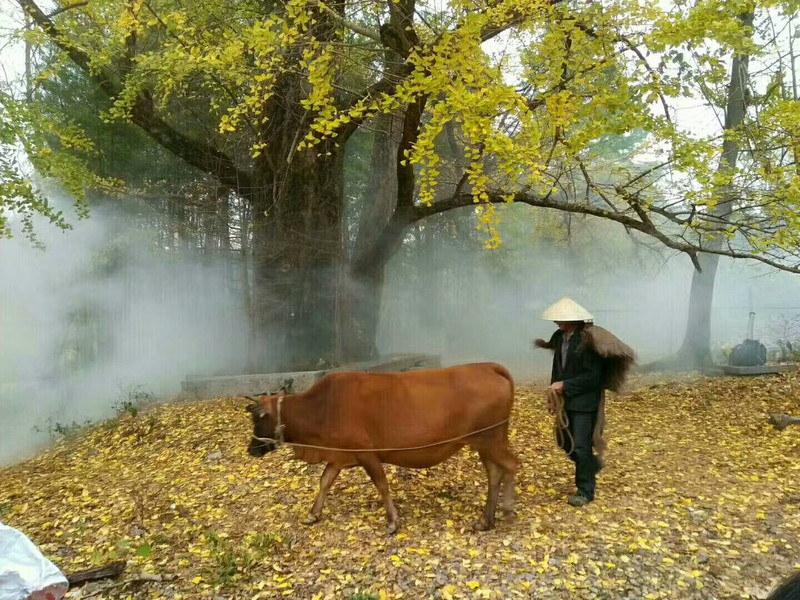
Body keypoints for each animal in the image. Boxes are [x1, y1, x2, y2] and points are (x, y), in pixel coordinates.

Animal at [245, 360, 520, 536]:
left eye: (257, 418)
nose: (251, 449)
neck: (322, 408)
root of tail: (487, 366)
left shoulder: (366, 453)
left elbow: (382, 485)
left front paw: (392, 522)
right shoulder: (339, 455)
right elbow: (325, 481)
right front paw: (313, 514)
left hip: (490, 439)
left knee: (511, 465)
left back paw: (506, 509)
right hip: (485, 442)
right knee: (495, 473)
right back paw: (485, 520)